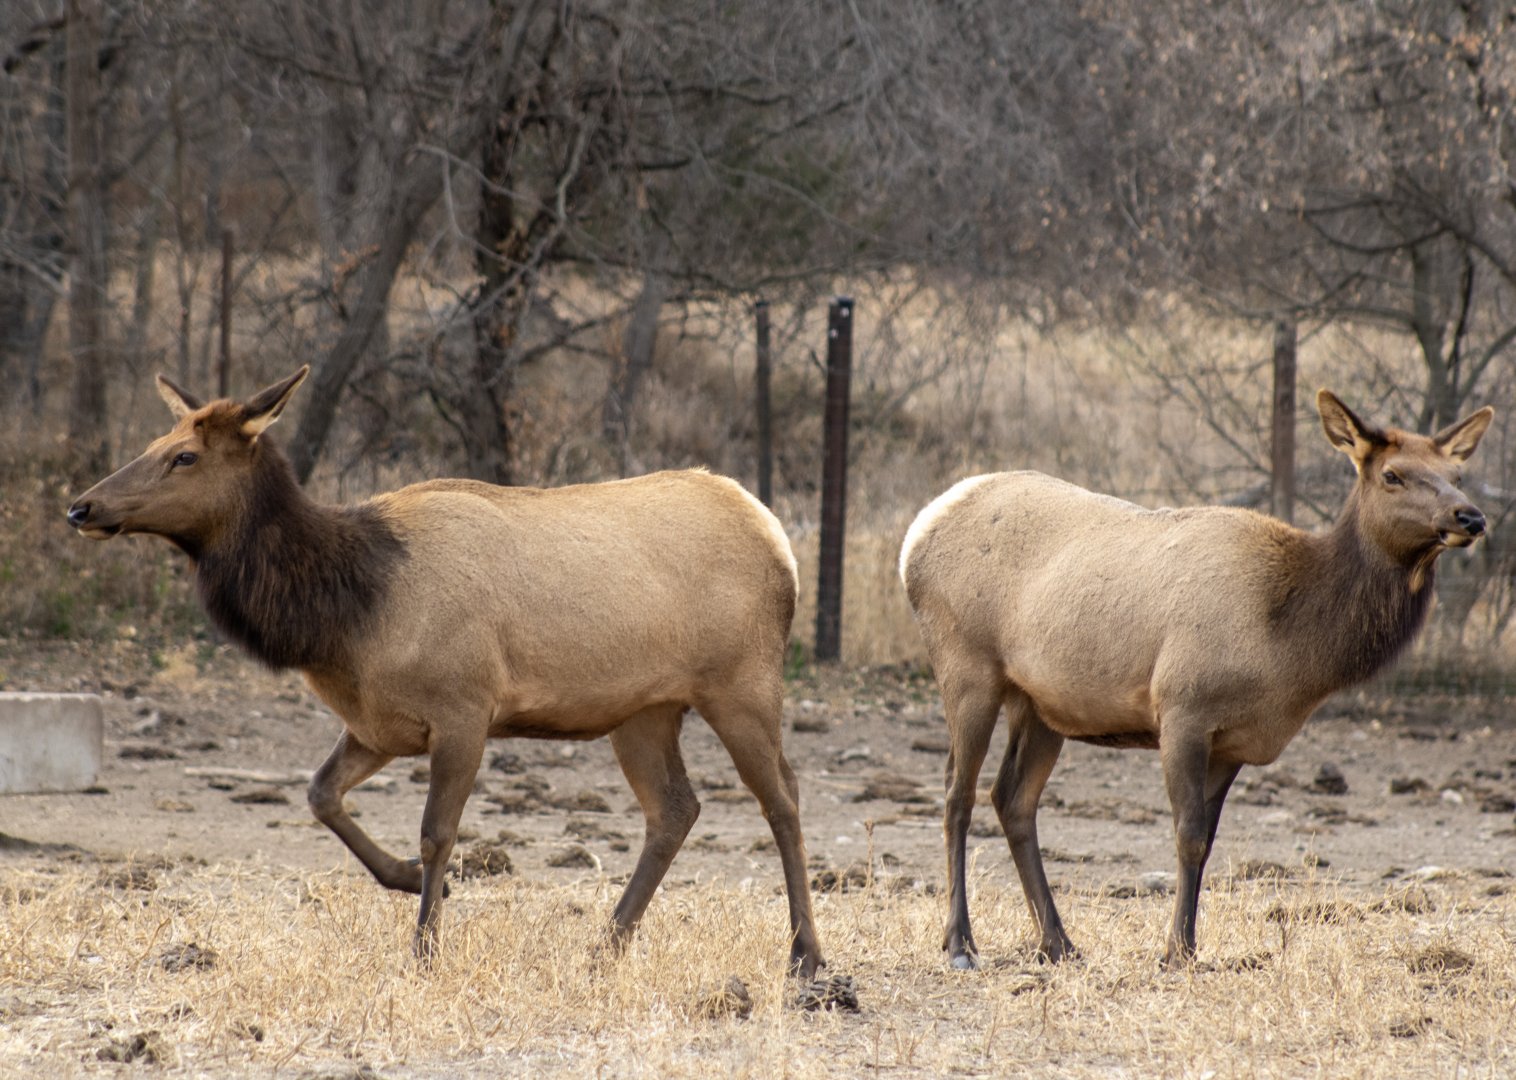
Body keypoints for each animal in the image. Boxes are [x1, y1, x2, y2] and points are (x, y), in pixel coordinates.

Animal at [67, 366, 824, 978]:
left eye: (184, 456)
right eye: (154, 443)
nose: (82, 506)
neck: (345, 617)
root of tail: (776, 537)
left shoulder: (465, 710)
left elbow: (437, 834)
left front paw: (425, 949)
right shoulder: (377, 724)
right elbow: (319, 794)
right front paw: (406, 882)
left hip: (741, 682)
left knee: (783, 798)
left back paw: (805, 955)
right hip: (644, 709)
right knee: (675, 809)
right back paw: (604, 947)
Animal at [899, 390, 1494, 970]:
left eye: (1457, 474)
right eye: (1392, 474)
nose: (1470, 517)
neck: (1289, 648)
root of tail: (916, 533)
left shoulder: (1233, 742)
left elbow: (1206, 841)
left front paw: (1187, 946)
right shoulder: (1183, 708)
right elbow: (1186, 836)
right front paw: (1175, 952)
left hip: (1043, 702)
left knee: (1013, 798)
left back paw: (1058, 943)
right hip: (966, 665)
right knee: (956, 794)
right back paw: (961, 944)